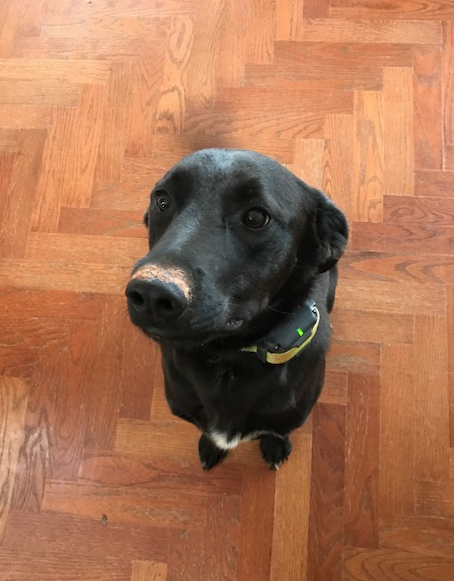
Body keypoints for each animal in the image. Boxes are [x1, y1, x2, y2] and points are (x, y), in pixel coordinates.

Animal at [126, 149, 348, 469]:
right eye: (162, 200)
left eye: (256, 217)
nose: (152, 293)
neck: (230, 357)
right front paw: (211, 446)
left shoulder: (287, 418)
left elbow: (278, 433)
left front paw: (275, 446)